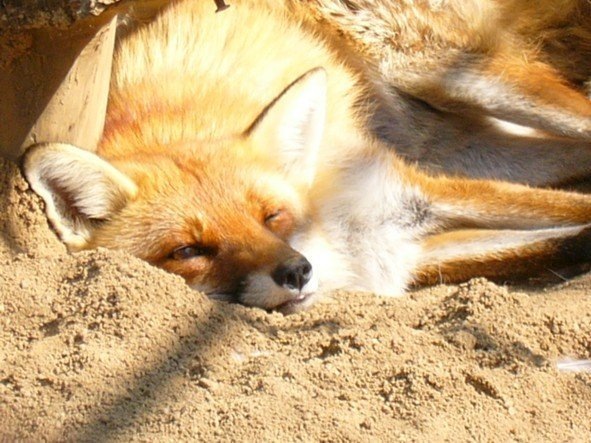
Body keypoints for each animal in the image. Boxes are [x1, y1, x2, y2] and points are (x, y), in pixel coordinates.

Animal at [23, 0, 591, 313]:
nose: (297, 271)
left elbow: (574, 214)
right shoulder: (400, 252)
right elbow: (565, 241)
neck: (327, 226)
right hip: (464, 143)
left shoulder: (410, 191)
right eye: (187, 251)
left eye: (272, 215)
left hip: (444, 73)